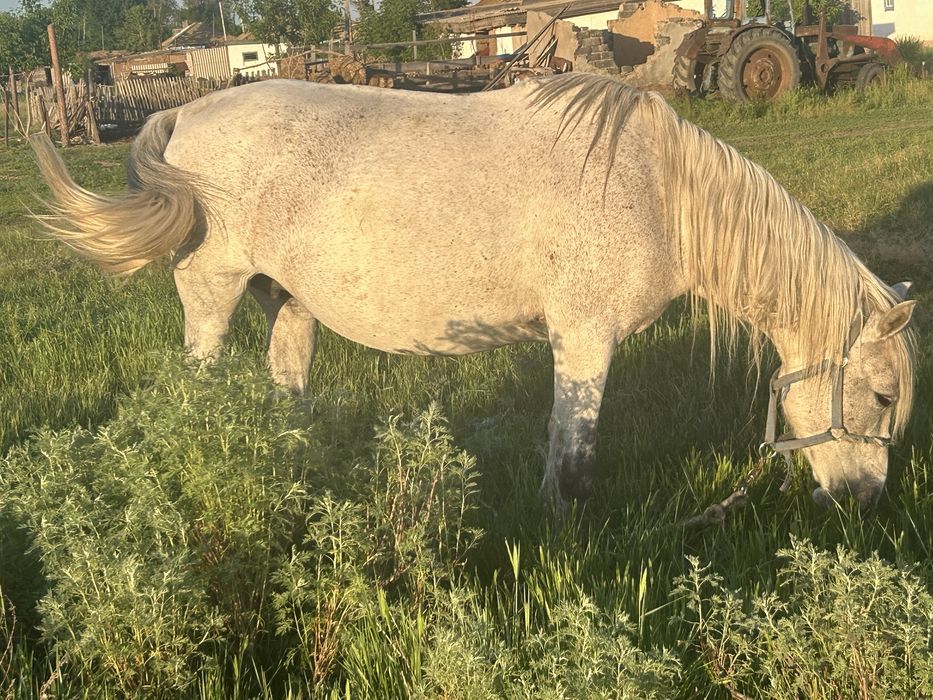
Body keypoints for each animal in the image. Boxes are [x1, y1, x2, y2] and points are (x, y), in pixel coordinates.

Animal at [31, 73, 915, 513]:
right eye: (878, 394)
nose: (864, 500)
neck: (657, 192)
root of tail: (184, 113)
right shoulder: (584, 340)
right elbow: (573, 460)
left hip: (287, 303)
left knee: (286, 395)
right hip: (212, 297)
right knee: (201, 386)